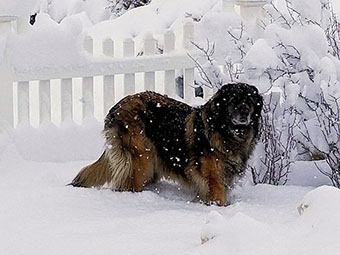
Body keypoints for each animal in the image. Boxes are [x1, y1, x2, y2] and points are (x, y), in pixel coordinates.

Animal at [71, 82, 262, 206]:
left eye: (250, 101)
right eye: (233, 100)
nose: (244, 112)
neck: (226, 132)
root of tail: (116, 108)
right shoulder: (214, 180)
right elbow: (218, 197)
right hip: (142, 158)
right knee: (128, 185)